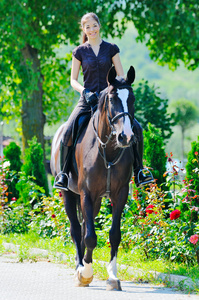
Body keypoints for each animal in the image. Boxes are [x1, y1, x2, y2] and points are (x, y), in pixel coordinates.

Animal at [50, 66, 136, 290]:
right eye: (112, 99)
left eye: (132, 99)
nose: (126, 137)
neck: (108, 150)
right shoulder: (86, 193)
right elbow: (89, 236)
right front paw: (86, 273)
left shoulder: (119, 194)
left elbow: (114, 235)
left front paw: (112, 276)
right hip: (69, 195)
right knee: (75, 229)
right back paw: (79, 267)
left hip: (96, 200)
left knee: (82, 228)